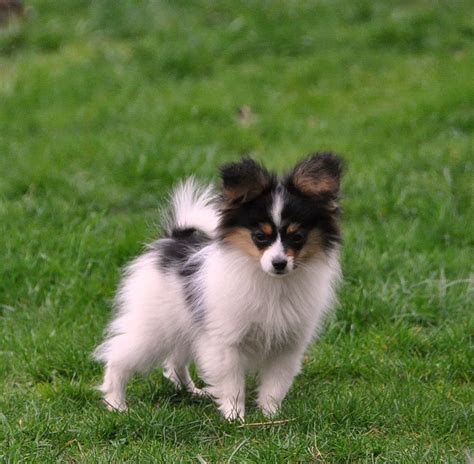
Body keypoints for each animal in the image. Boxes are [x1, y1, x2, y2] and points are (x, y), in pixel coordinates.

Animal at [93, 153, 344, 420]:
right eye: (259, 236)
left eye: (297, 237)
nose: (279, 263)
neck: (272, 282)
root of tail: (173, 239)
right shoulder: (226, 341)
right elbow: (233, 384)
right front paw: (235, 417)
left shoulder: (287, 346)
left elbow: (275, 385)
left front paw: (271, 416)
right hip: (154, 329)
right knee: (118, 357)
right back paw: (116, 404)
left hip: (185, 325)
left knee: (175, 361)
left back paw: (191, 391)